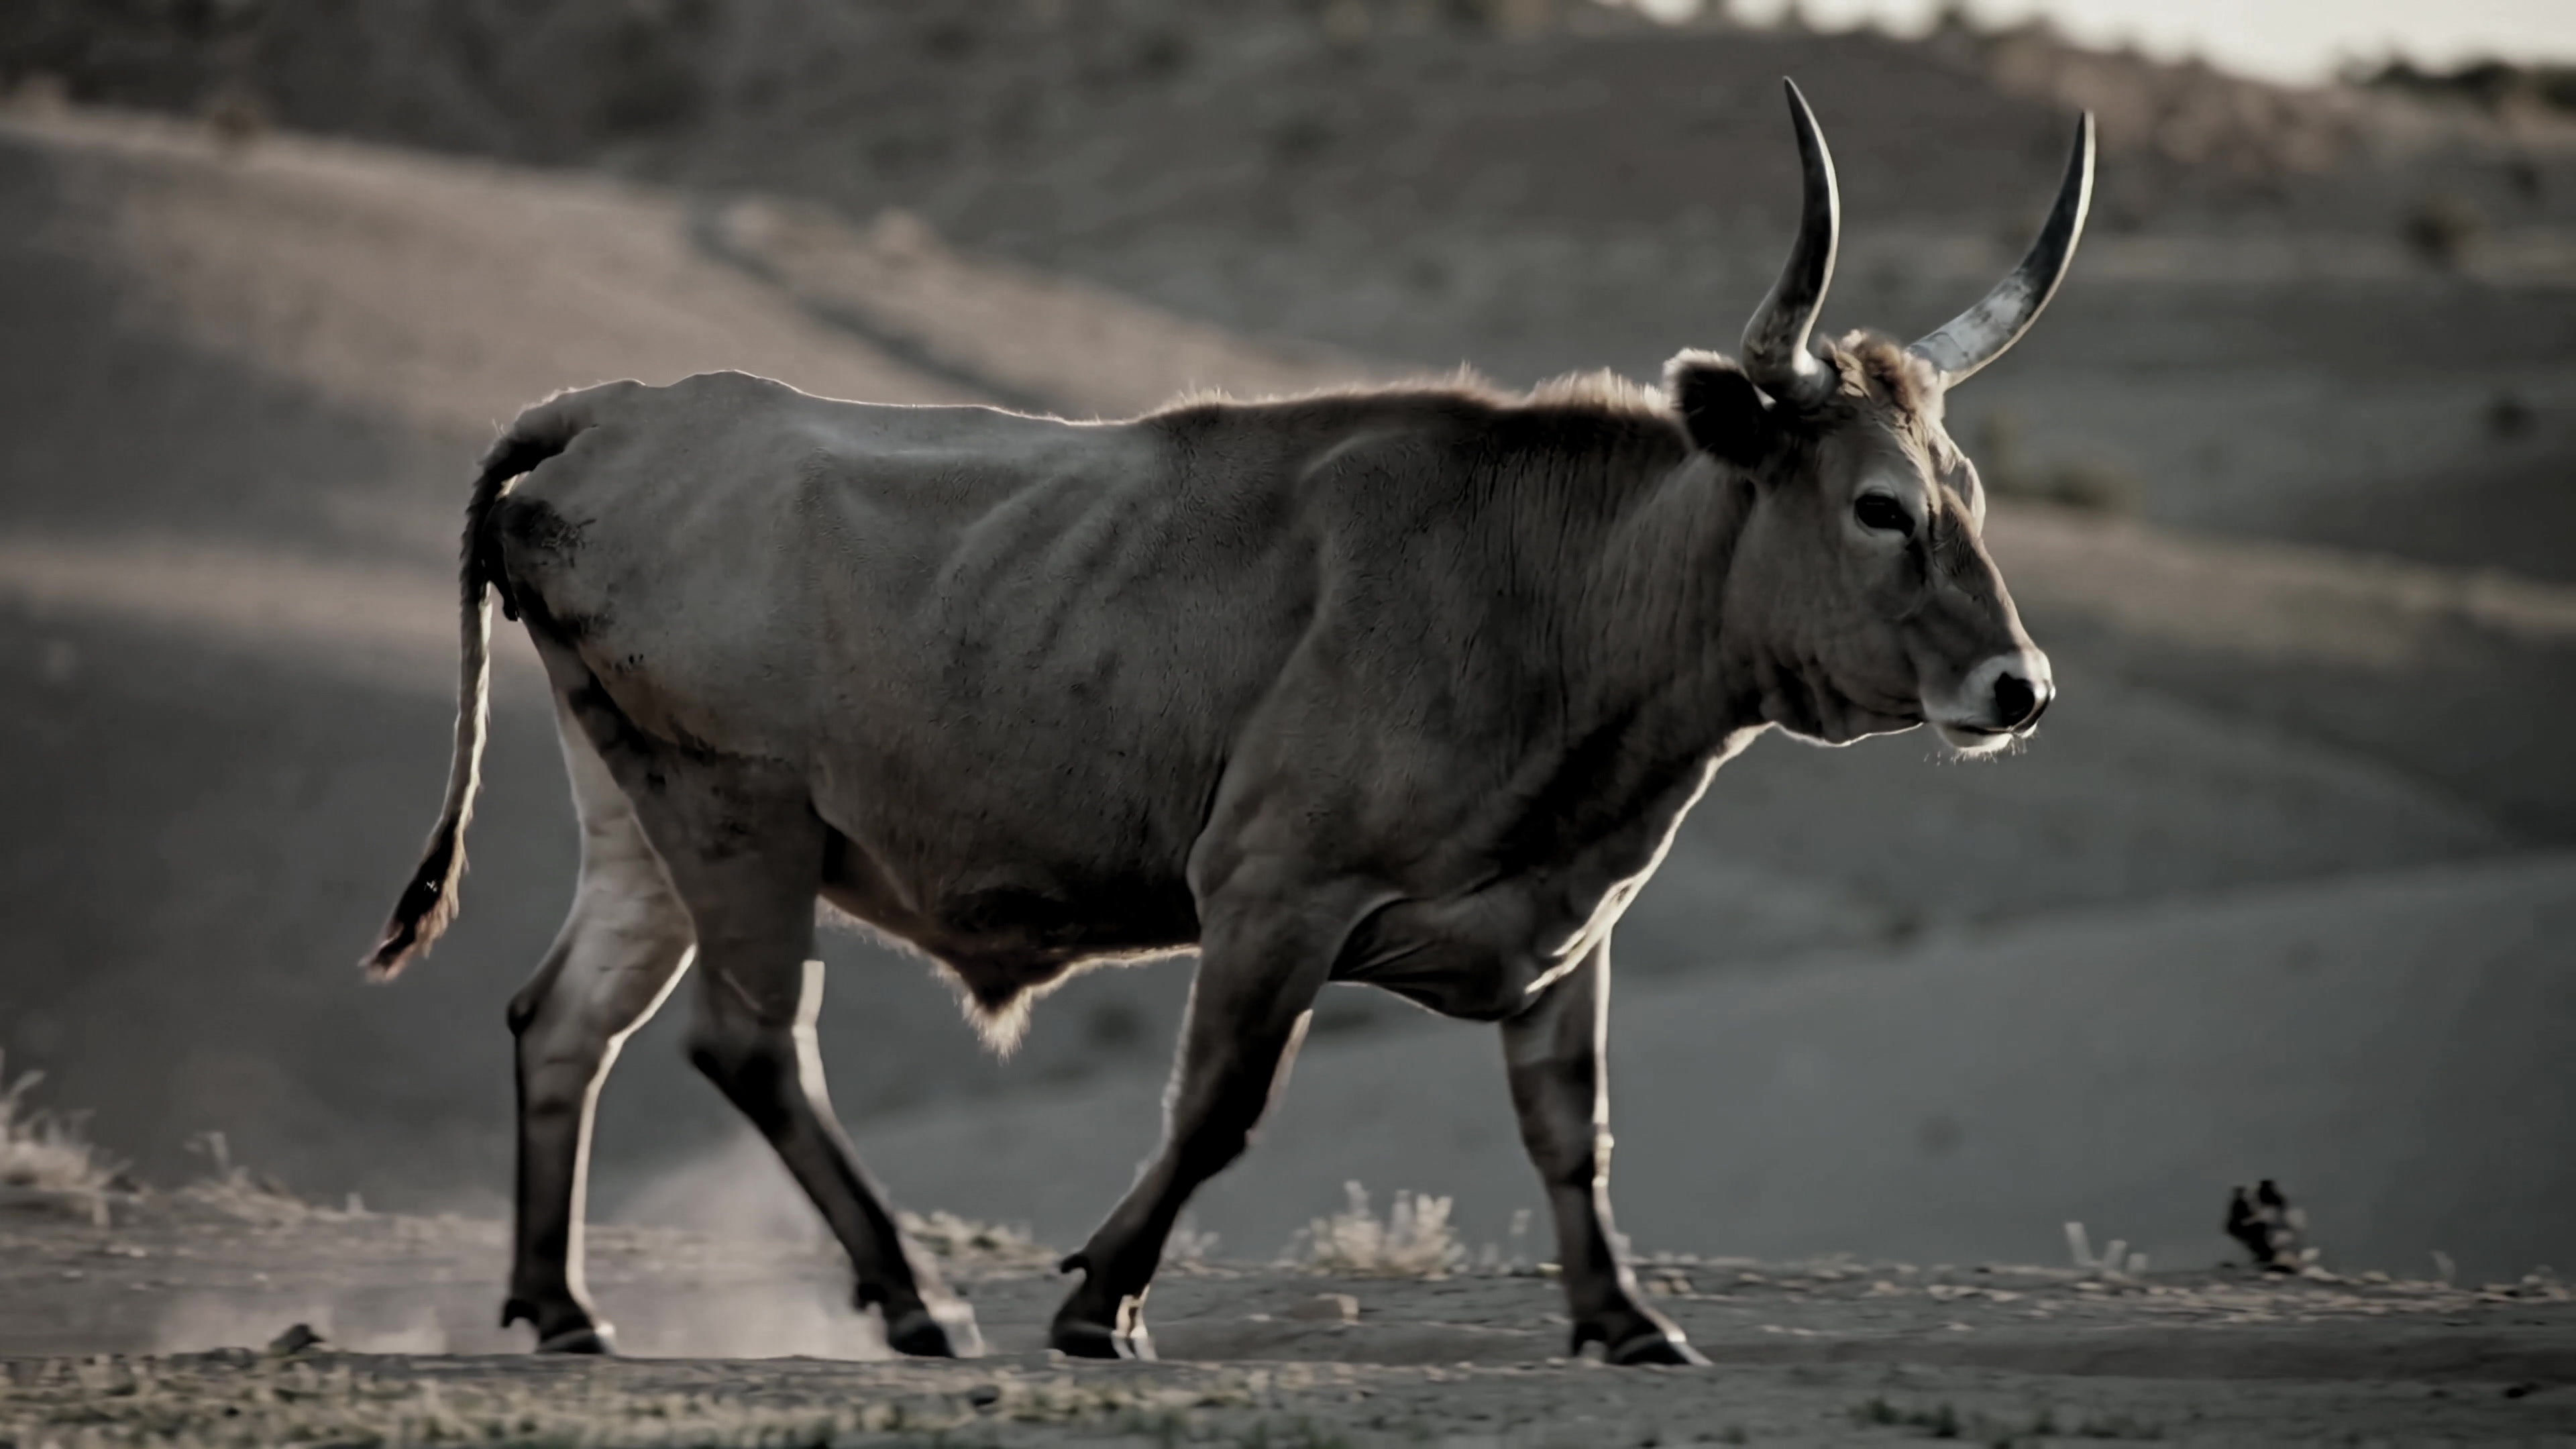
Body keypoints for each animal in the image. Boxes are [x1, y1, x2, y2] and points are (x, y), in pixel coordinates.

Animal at [365, 80, 2091, 1366]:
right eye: (1878, 506)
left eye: (1966, 492)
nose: (2019, 689)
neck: (1541, 581)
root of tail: (620, 409)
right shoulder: (1272, 890)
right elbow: (1218, 1106)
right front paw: (1096, 1302)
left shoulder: (1566, 923)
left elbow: (1569, 1130)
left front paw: (1622, 1321)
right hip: (739, 818)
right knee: (750, 1038)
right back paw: (915, 1301)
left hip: (642, 823)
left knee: (564, 1022)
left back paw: (564, 1309)